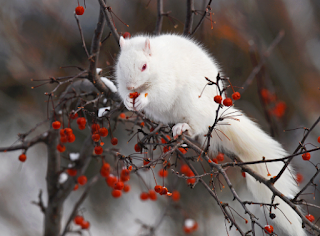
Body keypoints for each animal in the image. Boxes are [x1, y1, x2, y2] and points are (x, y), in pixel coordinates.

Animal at [114, 34, 304, 235]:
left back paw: (182, 127)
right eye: (120, 66)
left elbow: (159, 93)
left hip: (192, 105)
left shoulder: (167, 80)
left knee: (196, 127)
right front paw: (127, 100)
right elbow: (123, 92)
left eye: (144, 66)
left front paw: (143, 99)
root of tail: (214, 114)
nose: (130, 86)